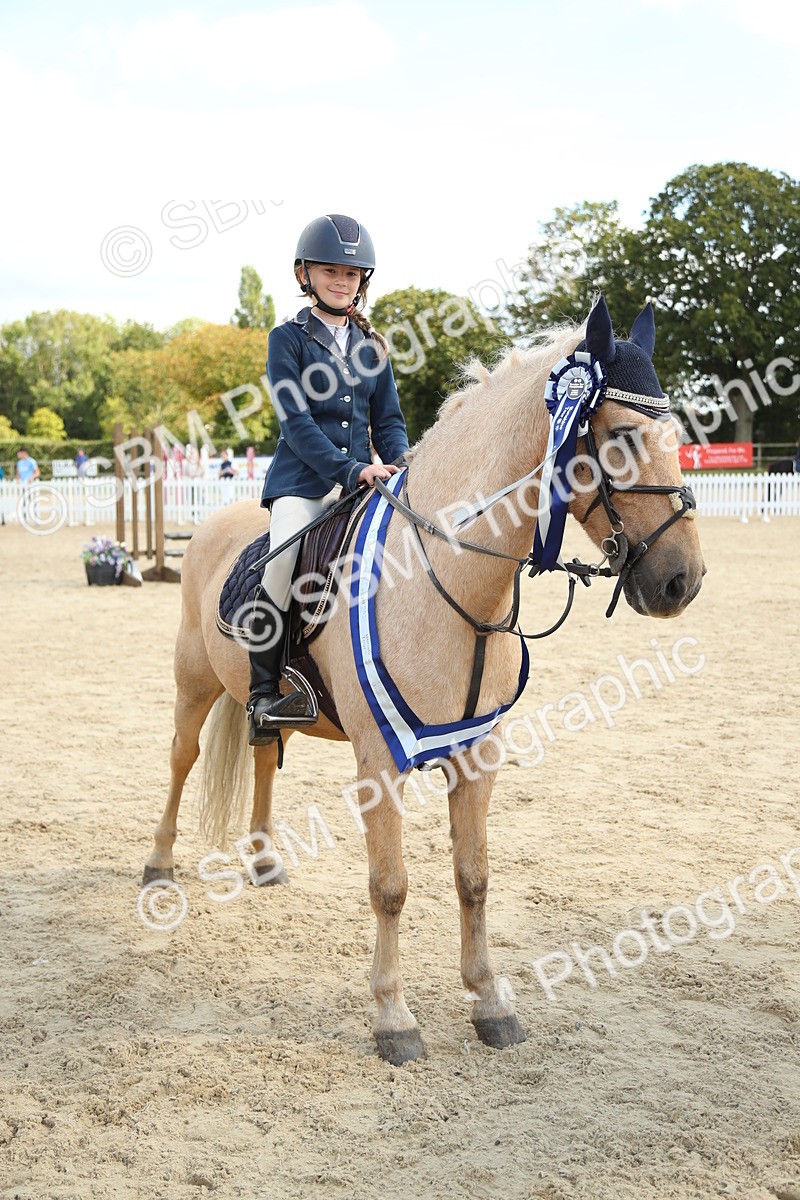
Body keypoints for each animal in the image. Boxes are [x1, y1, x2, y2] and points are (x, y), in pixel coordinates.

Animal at [142, 298, 705, 1065]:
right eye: (618, 437)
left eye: (676, 435)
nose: (684, 581)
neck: (452, 579)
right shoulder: (381, 763)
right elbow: (390, 886)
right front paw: (393, 1018)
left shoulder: (477, 756)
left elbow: (474, 878)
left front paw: (490, 1003)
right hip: (193, 680)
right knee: (181, 758)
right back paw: (159, 865)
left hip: (262, 708)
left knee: (261, 756)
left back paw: (263, 861)